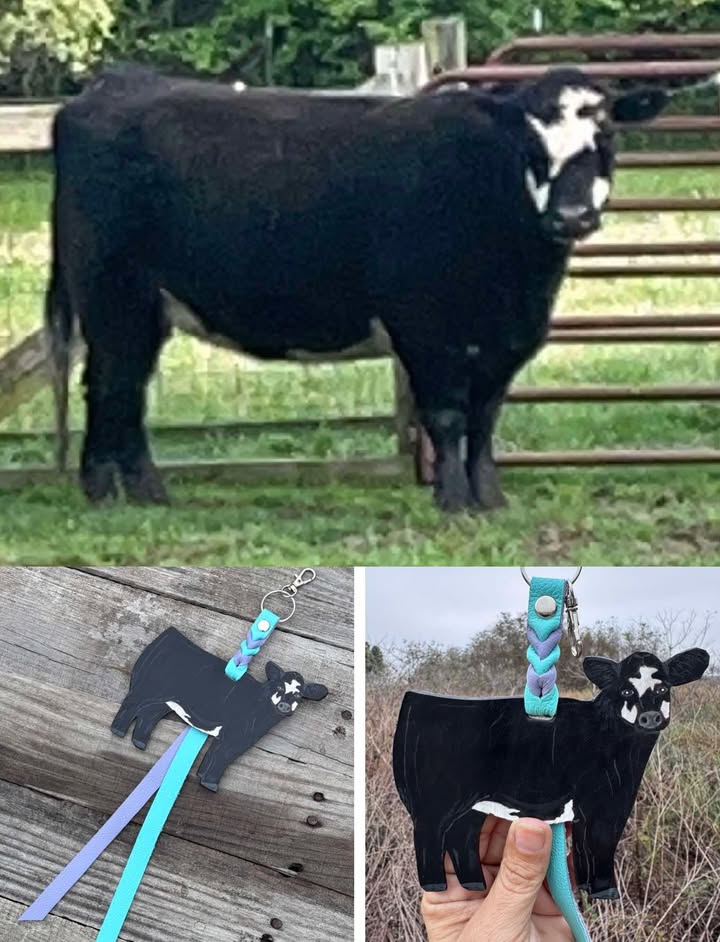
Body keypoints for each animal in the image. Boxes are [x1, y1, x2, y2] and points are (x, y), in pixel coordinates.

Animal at [47, 65, 670, 510]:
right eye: (532, 146)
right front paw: (453, 501)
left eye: (605, 137)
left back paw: (139, 492)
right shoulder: (425, 327)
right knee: (112, 386)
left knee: (124, 390)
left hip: (141, 310)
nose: (571, 216)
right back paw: (109, 492)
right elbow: (447, 414)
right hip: (114, 299)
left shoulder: (507, 339)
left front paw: (490, 498)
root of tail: (107, 87)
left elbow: (485, 417)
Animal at [111, 626, 329, 791]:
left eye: (299, 696)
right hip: (147, 688)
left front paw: (202, 777)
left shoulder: (233, 738)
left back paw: (140, 742)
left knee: (149, 714)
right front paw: (210, 784)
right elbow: (221, 758)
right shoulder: (233, 736)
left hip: (164, 700)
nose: (284, 705)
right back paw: (118, 730)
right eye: (279, 688)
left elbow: (215, 756)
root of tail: (171, 634)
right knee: (131, 705)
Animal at [392, 648, 709, 899]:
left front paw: (587, 889)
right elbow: (601, 847)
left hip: (472, 805)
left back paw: (474, 884)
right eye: (627, 690)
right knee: (429, 838)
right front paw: (606, 891)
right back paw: (435, 886)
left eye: (664, 688)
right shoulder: (603, 806)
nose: (651, 717)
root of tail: (416, 698)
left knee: (462, 838)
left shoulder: (597, 808)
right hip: (435, 802)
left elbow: (584, 850)